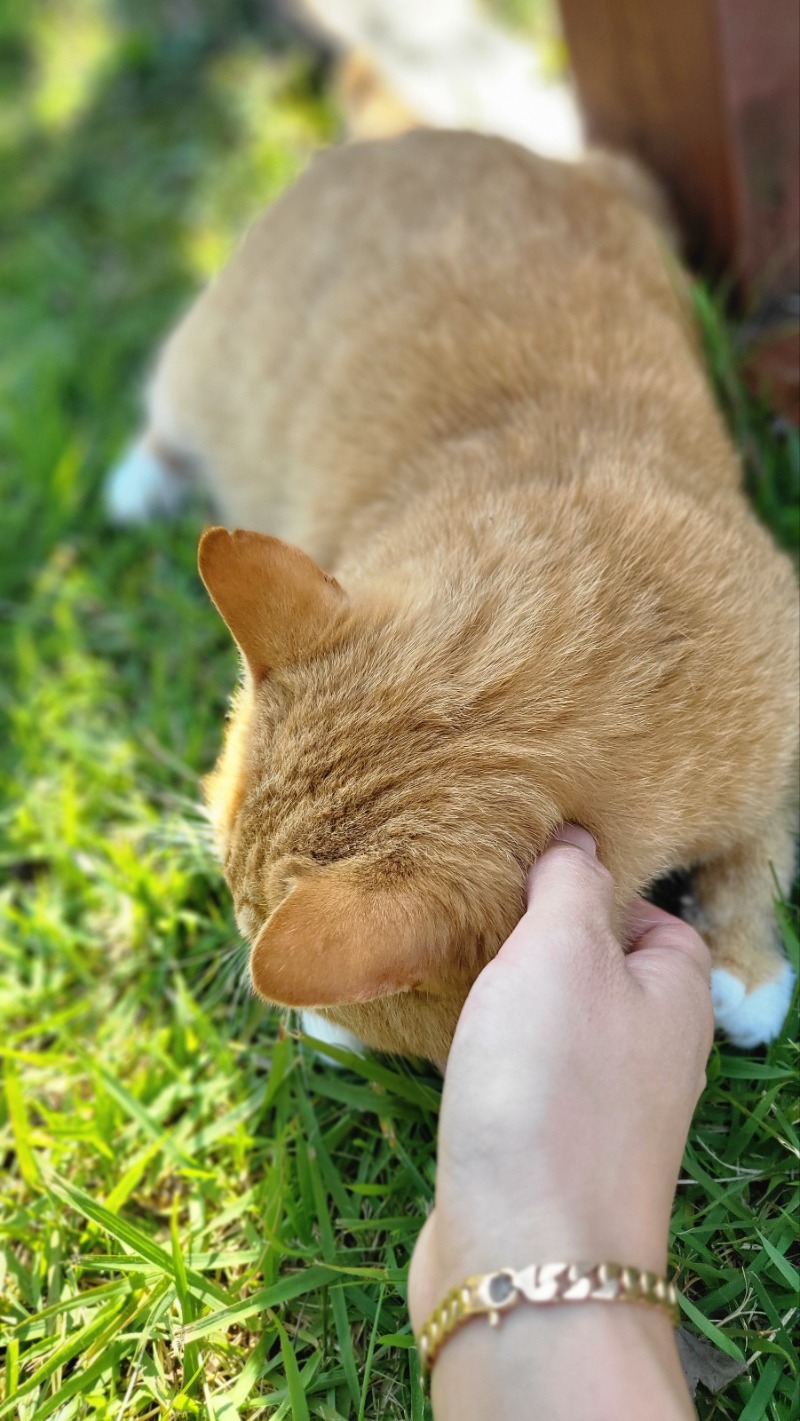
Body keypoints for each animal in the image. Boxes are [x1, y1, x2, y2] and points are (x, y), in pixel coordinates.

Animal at [105, 133, 795, 1062]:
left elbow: (761, 849)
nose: (311, 1032)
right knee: (164, 423)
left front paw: (747, 967)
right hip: (199, 373)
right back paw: (138, 483)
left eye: (250, 918)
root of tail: (390, 143)